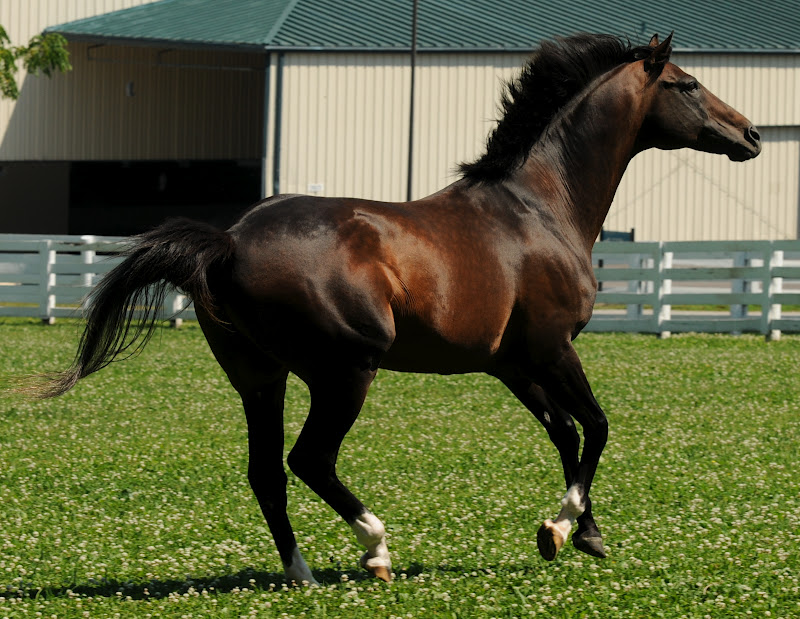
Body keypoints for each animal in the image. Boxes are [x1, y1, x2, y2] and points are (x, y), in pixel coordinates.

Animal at [25, 32, 764, 588]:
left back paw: (300, 572)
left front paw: (582, 534)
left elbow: (566, 433)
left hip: (259, 378)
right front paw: (564, 525)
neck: (539, 207)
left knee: (266, 472)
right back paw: (374, 548)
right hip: (346, 371)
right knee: (309, 459)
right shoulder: (554, 348)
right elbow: (599, 426)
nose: (753, 134)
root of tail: (229, 240)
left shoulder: (511, 364)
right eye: (688, 85)